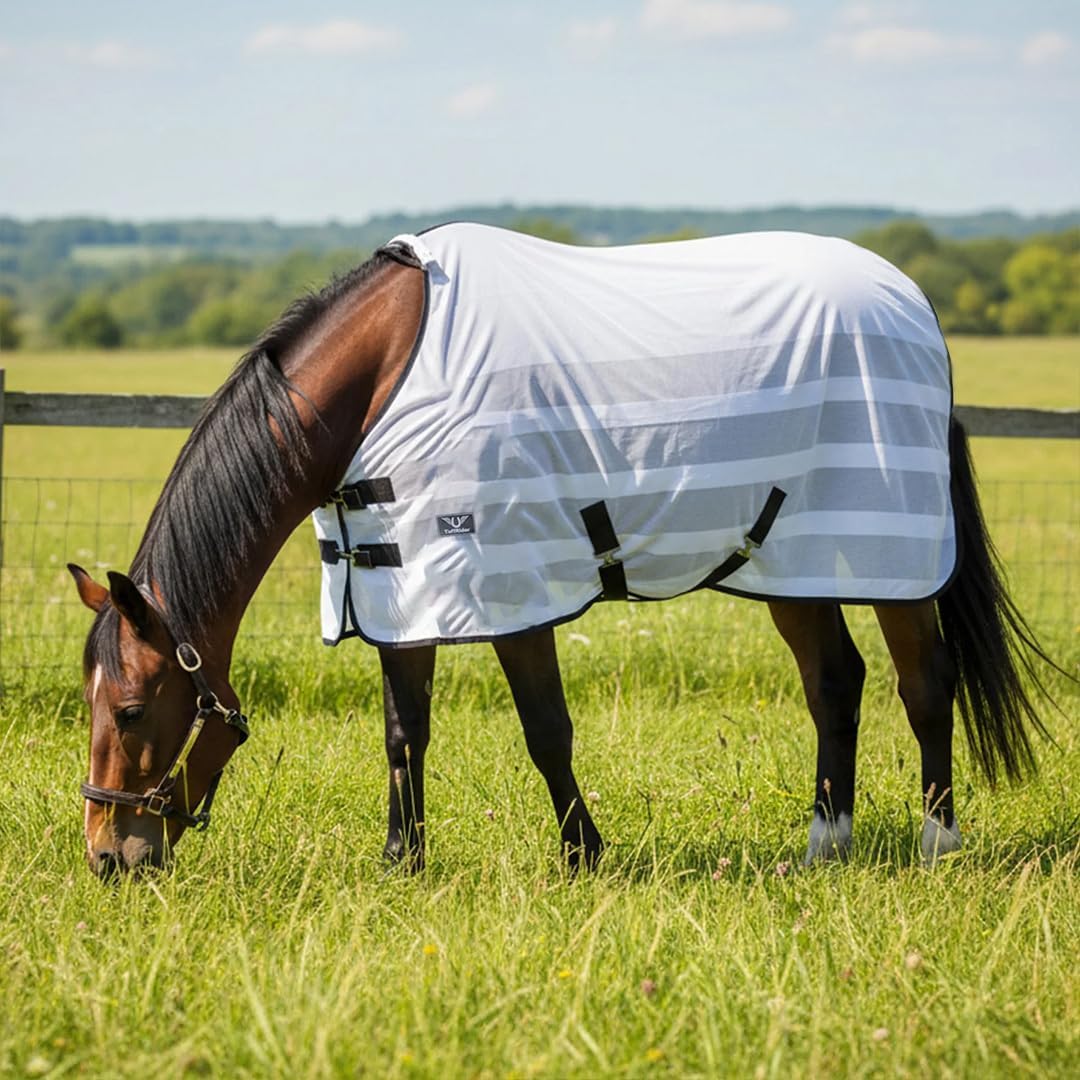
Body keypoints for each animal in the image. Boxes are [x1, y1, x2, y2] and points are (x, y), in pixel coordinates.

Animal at [69, 224, 1055, 878]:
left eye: (130, 709)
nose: (110, 856)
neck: (385, 376)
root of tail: (916, 311)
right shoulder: (401, 585)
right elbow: (403, 732)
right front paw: (401, 861)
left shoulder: (507, 583)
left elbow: (546, 729)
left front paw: (583, 854)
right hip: (788, 555)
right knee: (835, 684)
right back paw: (824, 845)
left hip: (890, 554)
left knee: (924, 682)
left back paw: (937, 844)